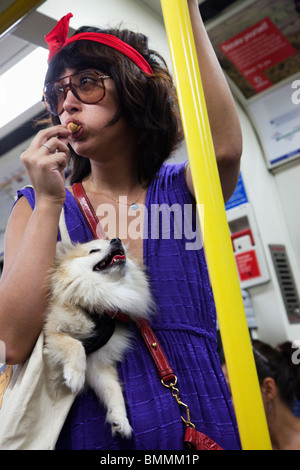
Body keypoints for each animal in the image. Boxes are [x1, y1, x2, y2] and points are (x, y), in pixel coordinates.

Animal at [43, 237, 152, 438]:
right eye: (94, 250)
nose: (116, 239)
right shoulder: (53, 332)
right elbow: (75, 345)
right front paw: (75, 375)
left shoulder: (98, 364)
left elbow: (113, 389)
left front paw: (120, 419)